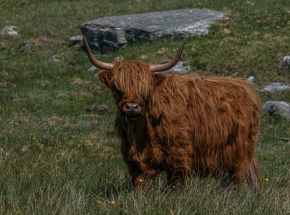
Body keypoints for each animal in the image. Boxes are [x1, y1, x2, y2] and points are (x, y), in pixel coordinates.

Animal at [82, 35, 262, 191]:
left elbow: (175, 186)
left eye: (144, 91)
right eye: (118, 89)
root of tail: (245, 86)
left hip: (238, 150)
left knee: (236, 179)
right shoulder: (134, 161)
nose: (132, 107)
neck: (140, 132)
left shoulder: (179, 156)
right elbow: (138, 186)